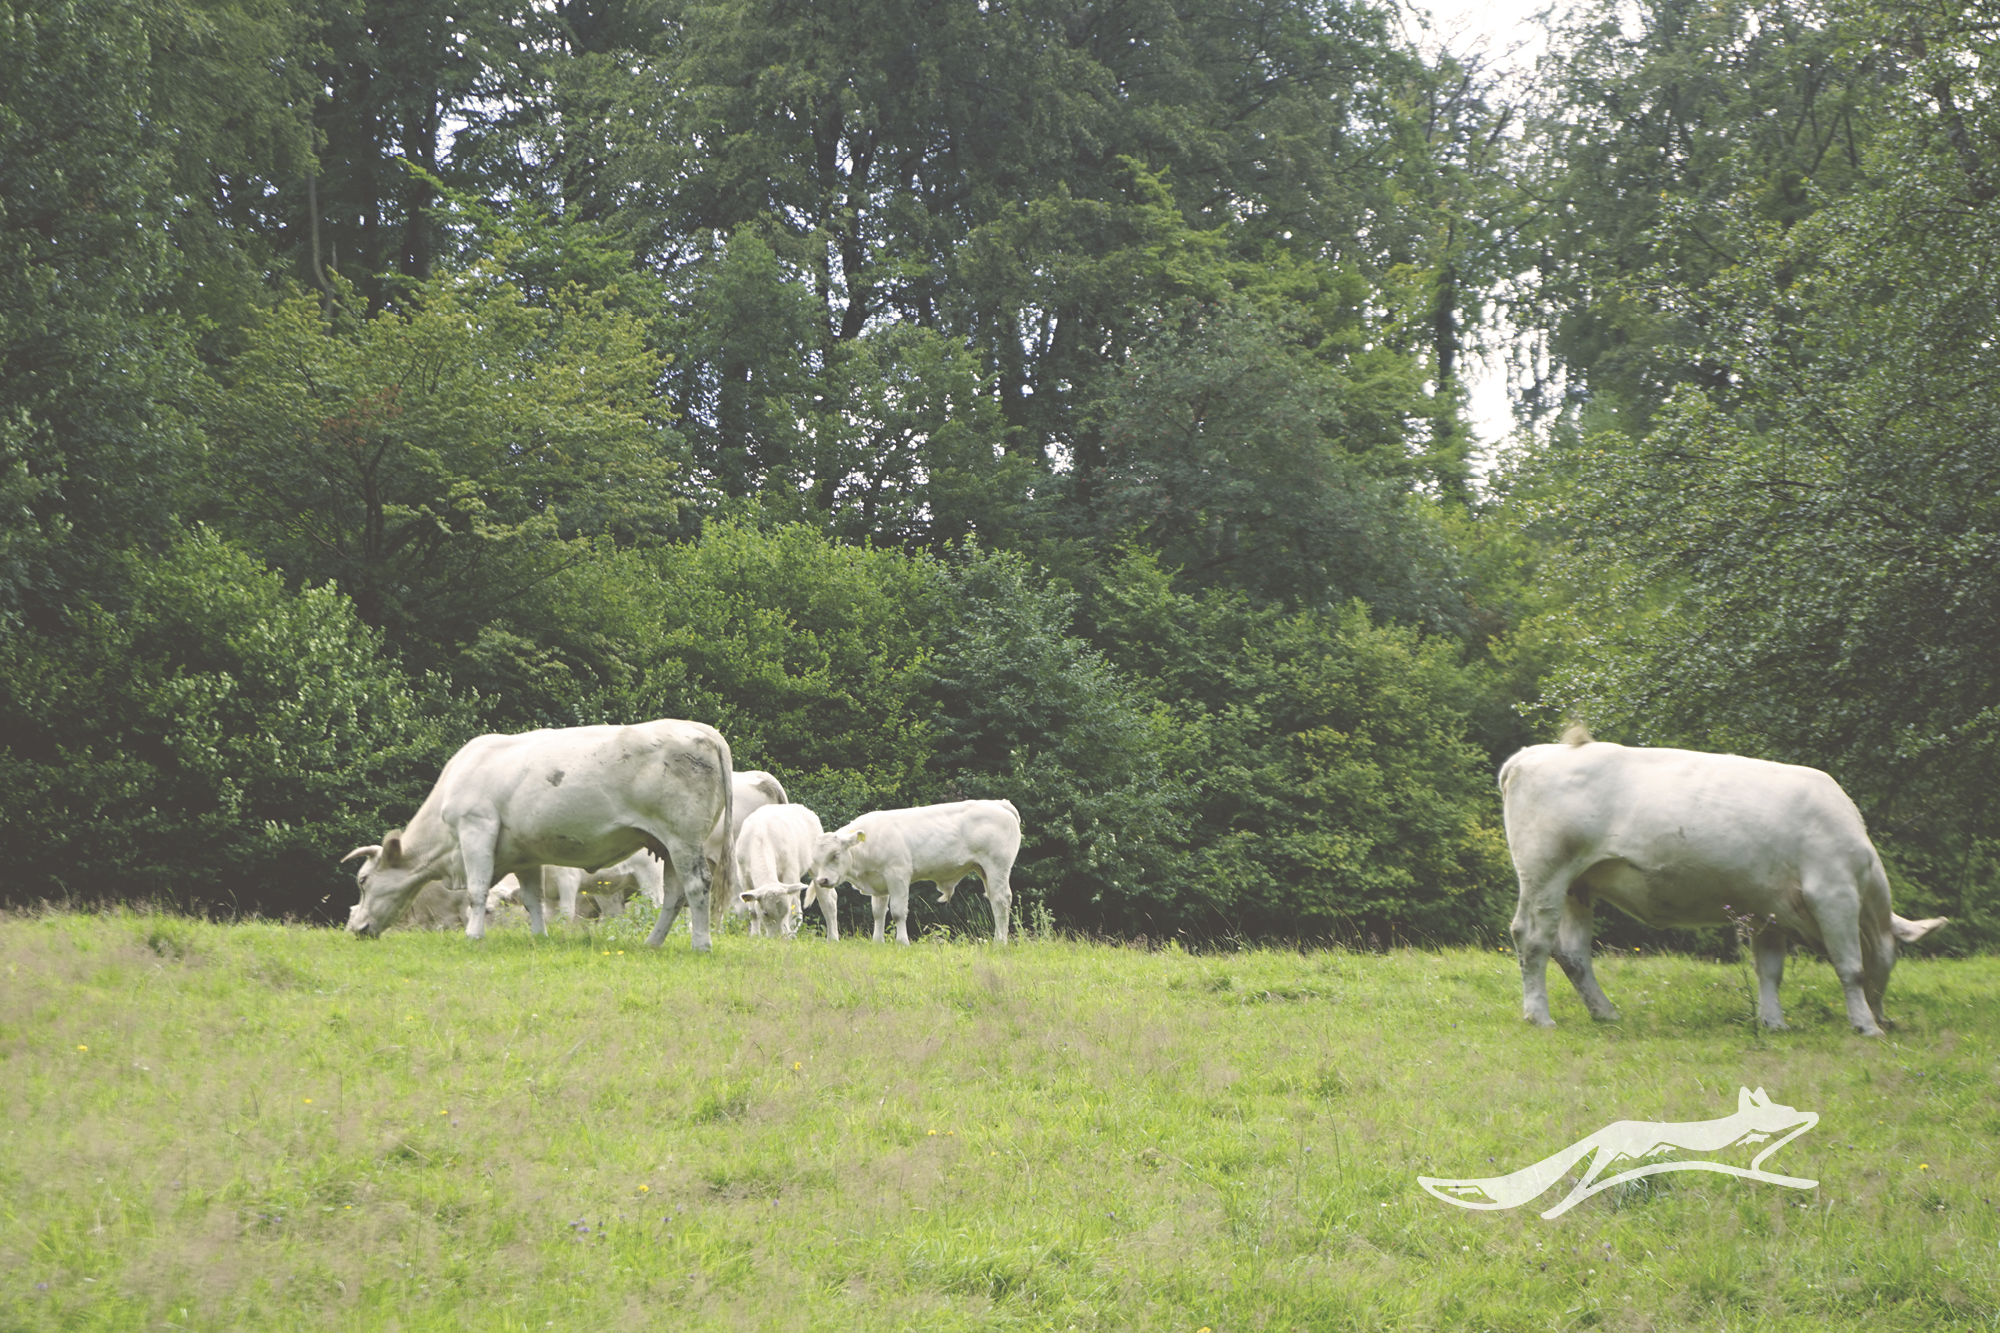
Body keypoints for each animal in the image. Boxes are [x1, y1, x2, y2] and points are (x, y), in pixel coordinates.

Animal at [344, 716, 736, 944]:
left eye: (362, 880)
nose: (356, 929)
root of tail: (703, 729)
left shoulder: (476, 828)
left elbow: (477, 891)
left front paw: (473, 935)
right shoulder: (524, 853)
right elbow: (532, 900)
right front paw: (539, 937)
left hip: (684, 838)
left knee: (696, 887)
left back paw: (701, 944)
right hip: (667, 845)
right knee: (674, 896)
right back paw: (652, 942)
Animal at [736, 800, 828, 932]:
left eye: (785, 911)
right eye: (765, 913)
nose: (779, 935)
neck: (760, 837)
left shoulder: (790, 872)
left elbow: (792, 909)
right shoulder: (743, 876)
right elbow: (752, 912)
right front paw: (755, 934)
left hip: (816, 866)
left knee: (826, 901)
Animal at [804, 792, 1016, 940]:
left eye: (835, 855)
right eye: (815, 860)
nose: (822, 880)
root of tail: (997, 803)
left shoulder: (897, 874)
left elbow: (898, 912)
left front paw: (902, 942)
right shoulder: (879, 881)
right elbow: (878, 912)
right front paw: (877, 942)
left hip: (997, 866)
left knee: (1001, 900)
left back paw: (1000, 942)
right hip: (984, 870)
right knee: (993, 898)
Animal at [1504, 732, 1944, 1032]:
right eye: (1894, 959)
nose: (1885, 1020)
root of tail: (1534, 752)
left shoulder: (1768, 909)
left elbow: (1770, 971)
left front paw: (1774, 1023)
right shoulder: (1833, 892)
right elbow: (1851, 966)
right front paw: (1865, 1026)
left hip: (1579, 884)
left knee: (1574, 953)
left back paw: (1606, 1012)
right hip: (1546, 870)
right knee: (1532, 938)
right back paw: (1539, 1016)